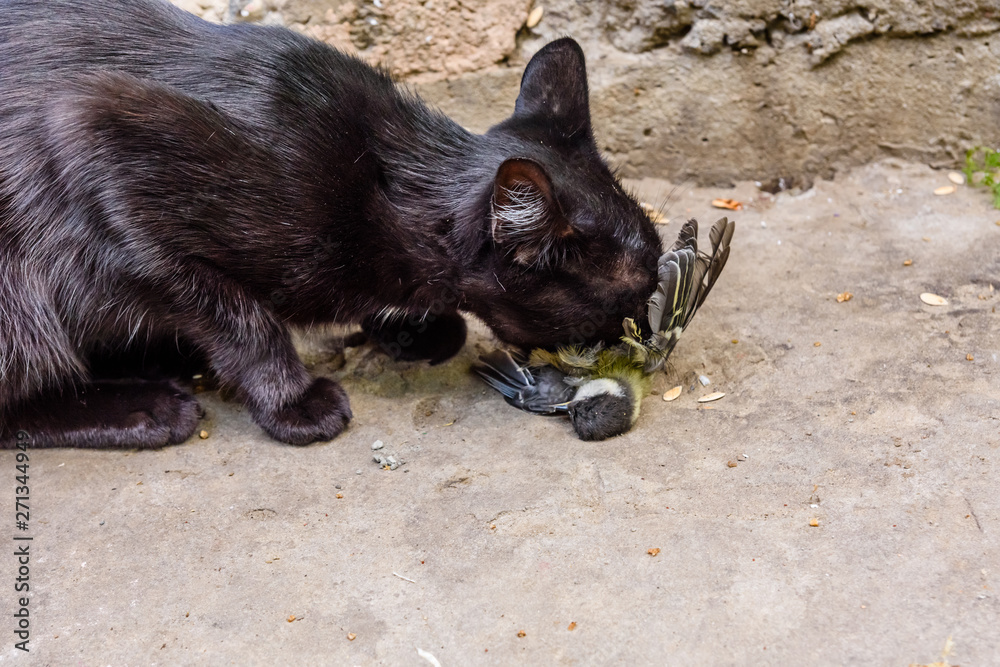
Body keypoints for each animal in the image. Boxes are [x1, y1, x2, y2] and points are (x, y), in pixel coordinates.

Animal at [0, 1, 664, 448]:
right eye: (633, 298)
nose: (649, 342)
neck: (383, 181)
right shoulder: (94, 131)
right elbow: (241, 316)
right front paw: (292, 401)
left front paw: (409, 330)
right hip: (20, 291)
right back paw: (146, 410)